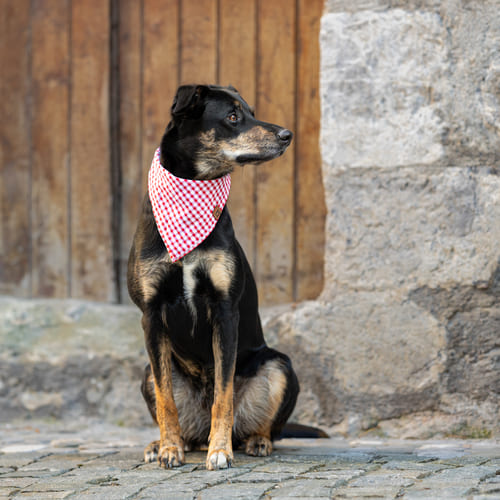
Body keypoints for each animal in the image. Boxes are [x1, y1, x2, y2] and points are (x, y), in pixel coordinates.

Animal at [127, 84, 302, 470]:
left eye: (251, 112)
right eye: (233, 116)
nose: (287, 135)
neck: (193, 188)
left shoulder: (224, 310)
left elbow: (224, 394)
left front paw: (220, 450)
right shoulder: (151, 314)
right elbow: (166, 398)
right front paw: (169, 449)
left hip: (280, 366)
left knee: (264, 424)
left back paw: (255, 441)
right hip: (146, 371)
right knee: (175, 409)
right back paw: (165, 443)